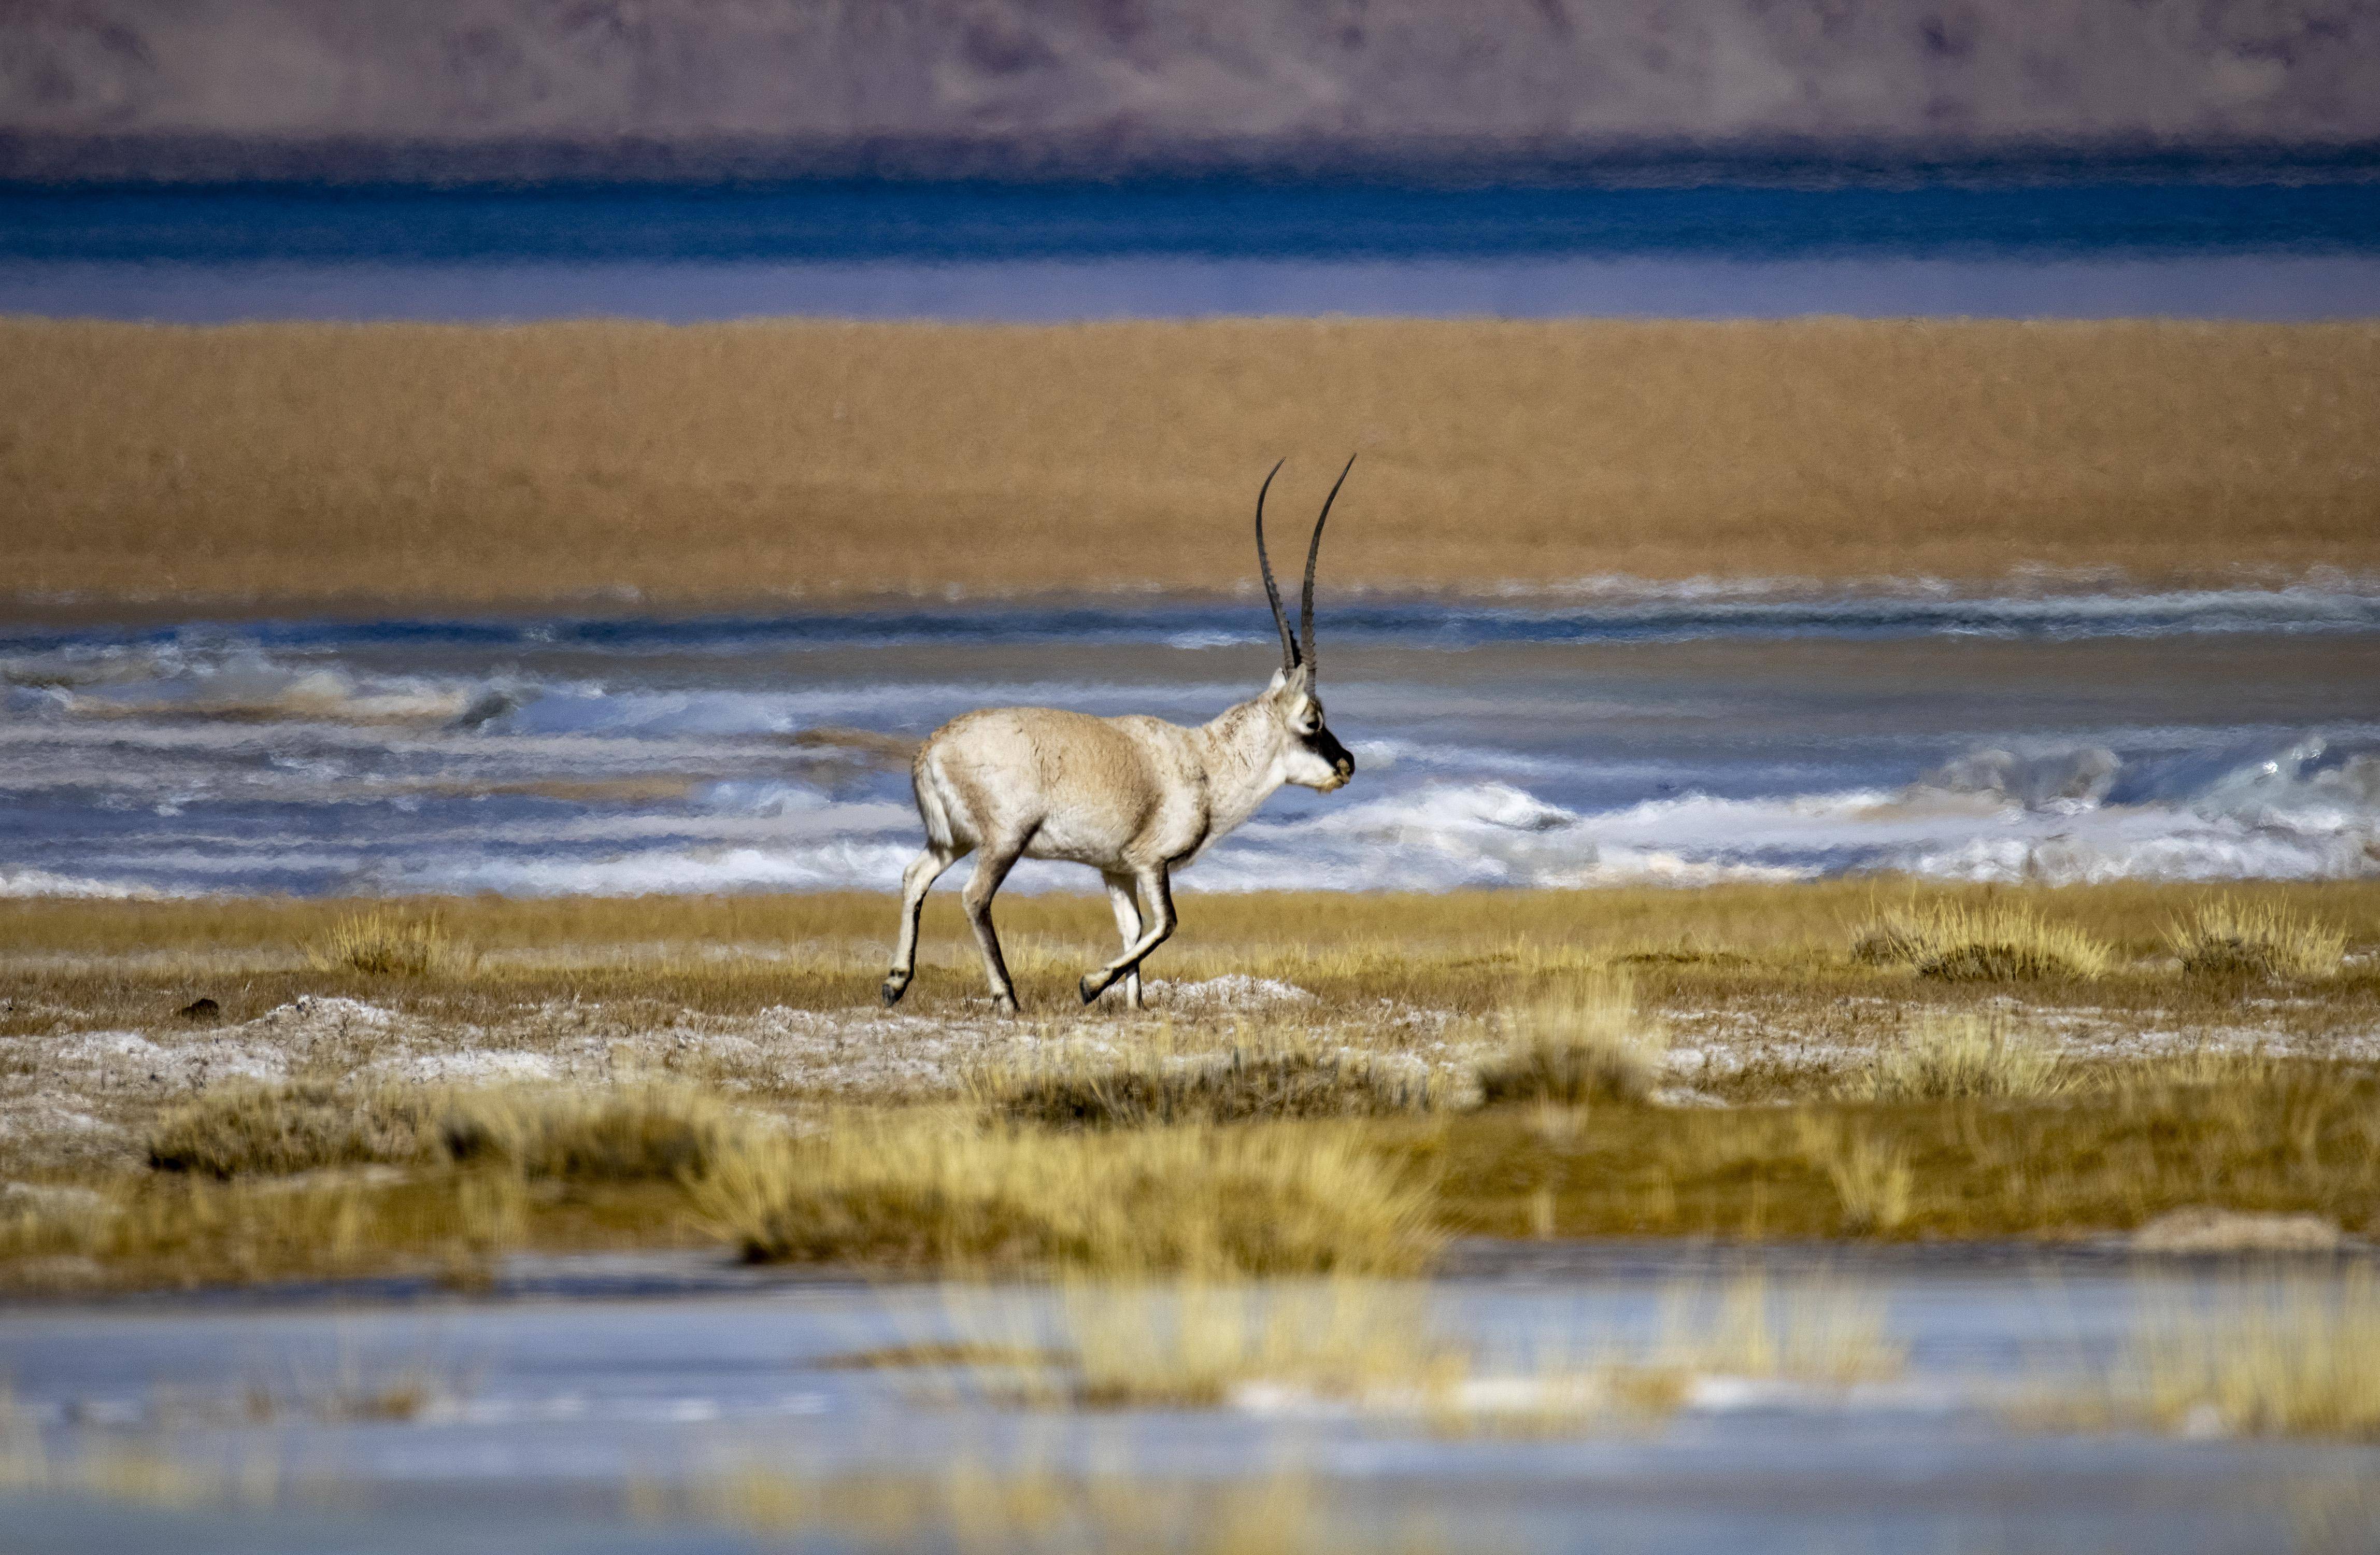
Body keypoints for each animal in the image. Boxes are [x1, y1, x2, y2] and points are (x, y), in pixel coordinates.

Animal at [876, 455, 1361, 1014]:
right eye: (1312, 721)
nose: (1347, 764)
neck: (1205, 763)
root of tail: (932, 749)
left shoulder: (1116, 871)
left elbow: (1133, 931)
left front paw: (1134, 1005)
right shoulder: (1153, 864)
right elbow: (1166, 925)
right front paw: (1091, 984)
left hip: (950, 839)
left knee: (915, 876)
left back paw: (895, 982)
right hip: (1003, 842)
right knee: (975, 897)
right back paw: (1007, 998)